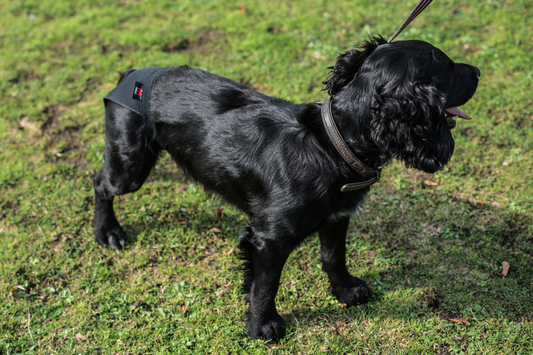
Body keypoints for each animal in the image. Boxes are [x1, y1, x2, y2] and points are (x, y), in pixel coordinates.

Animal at [93, 36, 480, 342]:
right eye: (448, 67)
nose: (477, 71)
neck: (332, 144)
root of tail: (132, 74)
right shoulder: (270, 239)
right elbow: (268, 285)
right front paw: (262, 325)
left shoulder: (336, 217)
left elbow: (333, 256)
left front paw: (345, 290)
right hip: (130, 166)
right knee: (101, 182)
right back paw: (107, 232)